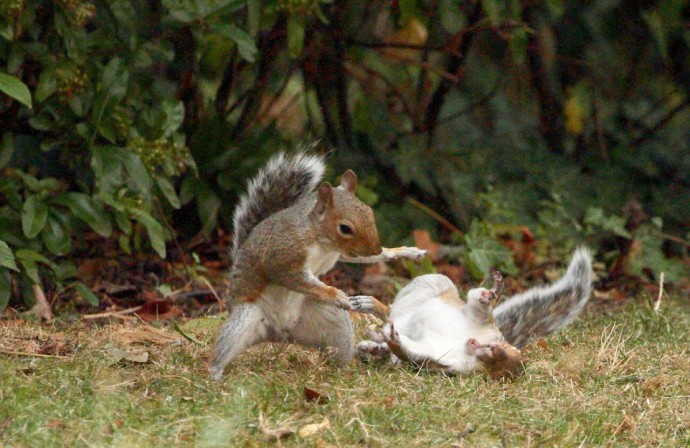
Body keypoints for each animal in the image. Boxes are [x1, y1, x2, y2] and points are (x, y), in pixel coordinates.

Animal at [207, 150, 428, 378]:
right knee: (225, 346)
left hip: (331, 322)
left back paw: (344, 369)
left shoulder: (343, 252)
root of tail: (279, 334)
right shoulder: (282, 255)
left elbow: (358, 257)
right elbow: (295, 279)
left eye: (369, 212)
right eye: (345, 228)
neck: (321, 240)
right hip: (246, 317)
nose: (375, 248)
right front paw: (335, 294)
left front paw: (402, 252)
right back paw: (215, 376)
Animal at [354, 247, 592, 380]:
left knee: (393, 329)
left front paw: (395, 343)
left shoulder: (443, 360)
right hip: (431, 284)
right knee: (391, 313)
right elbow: (478, 305)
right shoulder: (479, 325)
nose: (478, 346)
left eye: (499, 356)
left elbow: (413, 353)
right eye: (496, 349)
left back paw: (378, 346)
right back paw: (371, 308)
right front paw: (492, 291)